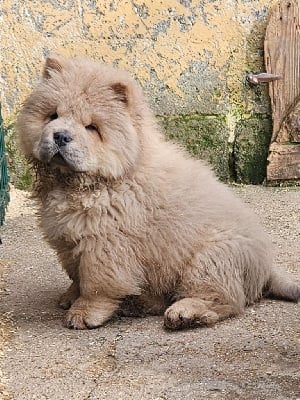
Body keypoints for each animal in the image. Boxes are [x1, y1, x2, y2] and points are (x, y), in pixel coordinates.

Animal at [17, 57, 300, 332]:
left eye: (91, 127)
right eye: (53, 115)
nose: (60, 135)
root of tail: (266, 268)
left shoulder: (105, 244)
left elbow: (95, 285)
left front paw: (83, 313)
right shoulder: (69, 240)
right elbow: (76, 276)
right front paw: (68, 297)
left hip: (210, 259)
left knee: (223, 300)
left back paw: (184, 314)